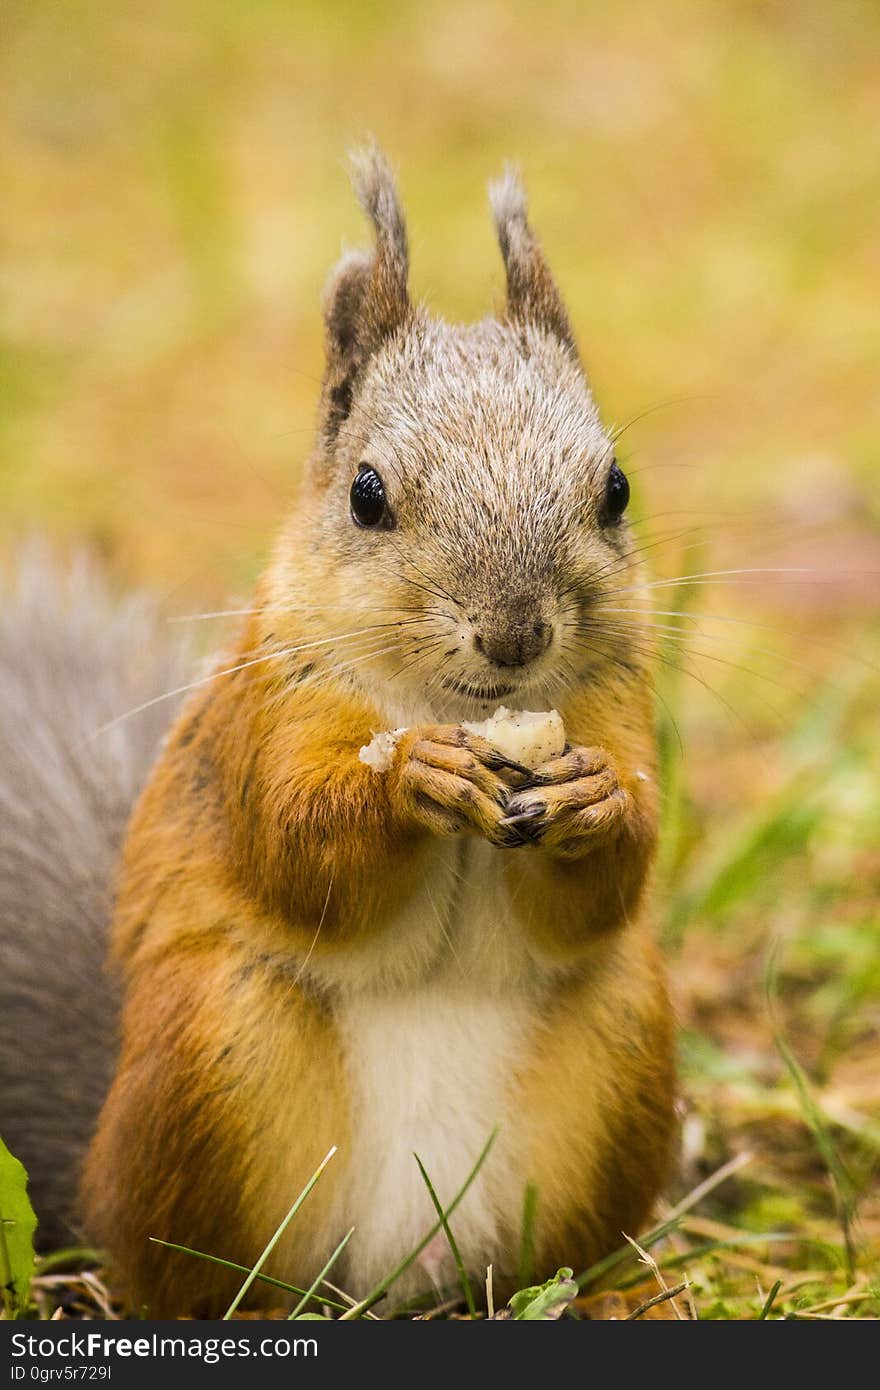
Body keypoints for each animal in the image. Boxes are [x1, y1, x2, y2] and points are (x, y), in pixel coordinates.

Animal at [0, 146, 675, 1317]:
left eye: (617, 489)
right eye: (366, 495)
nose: (514, 634)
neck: (465, 703)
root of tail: (404, 1268)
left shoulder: (615, 708)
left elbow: (608, 885)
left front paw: (597, 801)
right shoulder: (267, 716)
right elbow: (294, 848)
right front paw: (411, 776)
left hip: (622, 1045)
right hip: (215, 1052)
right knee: (191, 1271)